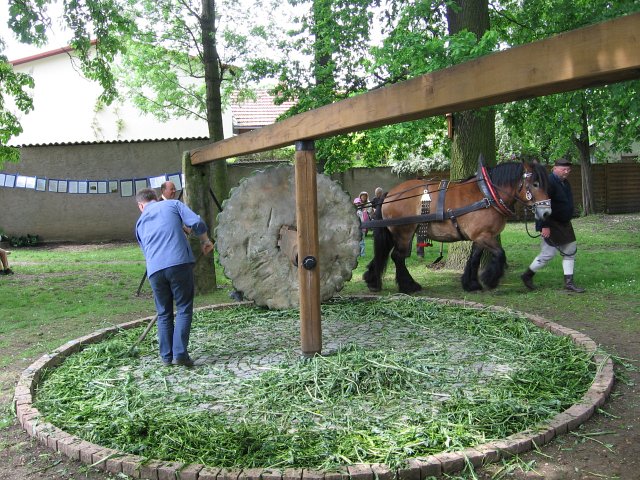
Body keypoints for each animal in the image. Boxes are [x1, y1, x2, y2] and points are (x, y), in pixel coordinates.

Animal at [362, 158, 552, 292]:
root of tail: (390, 194)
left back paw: (372, 280)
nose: (547, 213)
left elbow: (474, 258)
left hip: (394, 232)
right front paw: (490, 279)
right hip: (404, 232)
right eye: (535, 184)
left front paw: (471, 284)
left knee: (384, 253)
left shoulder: (480, 237)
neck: (487, 194)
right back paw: (409, 286)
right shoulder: (484, 235)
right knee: (398, 257)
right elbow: (500, 253)